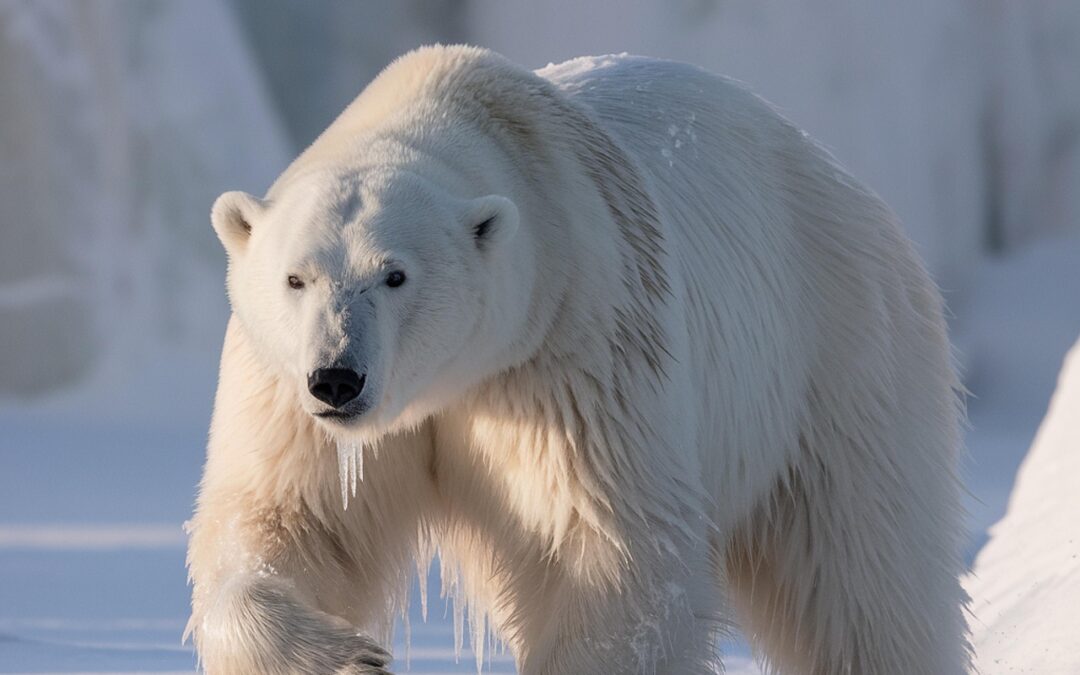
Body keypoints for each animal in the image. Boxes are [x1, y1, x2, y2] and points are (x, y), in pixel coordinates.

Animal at [186, 45, 971, 674]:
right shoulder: (285, 394)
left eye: (395, 274)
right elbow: (286, 523)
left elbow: (606, 554)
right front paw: (345, 651)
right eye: (296, 277)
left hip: (838, 356)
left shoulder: (571, 351)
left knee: (866, 578)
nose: (338, 379)